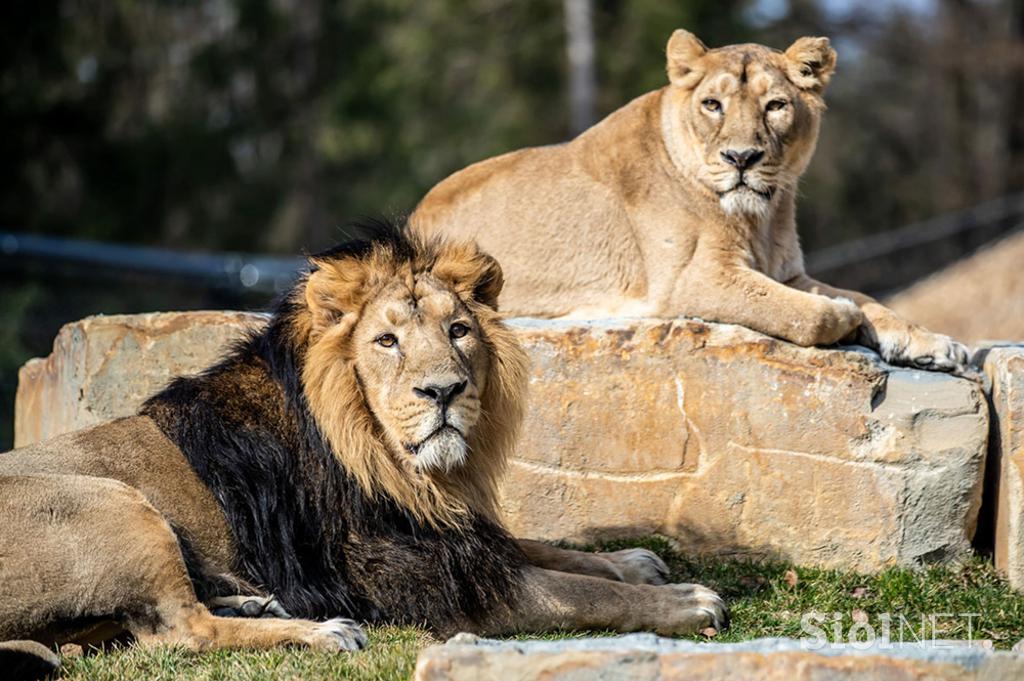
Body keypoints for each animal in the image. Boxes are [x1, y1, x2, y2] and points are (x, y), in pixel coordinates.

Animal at [0, 222, 729, 675]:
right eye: (386, 340)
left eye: (459, 330)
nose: (444, 390)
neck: (395, 462)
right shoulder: (432, 580)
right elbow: (578, 593)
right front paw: (687, 601)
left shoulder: (445, 534)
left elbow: (544, 549)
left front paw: (632, 561)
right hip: (115, 500)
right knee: (178, 632)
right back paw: (323, 629)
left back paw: (256, 602)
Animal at [409, 29, 966, 372]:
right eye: (712, 104)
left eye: (776, 106)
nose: (741, 157)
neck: (762, 217)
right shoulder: (691, 281)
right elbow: (808, 313)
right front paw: (844, 317)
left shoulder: (788, 272)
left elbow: (869, 299)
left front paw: (935, 344)